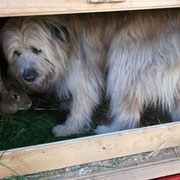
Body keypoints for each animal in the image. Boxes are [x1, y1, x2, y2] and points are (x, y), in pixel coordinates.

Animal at [1, 8, 180, 135]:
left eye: (37, 50)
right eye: (16, 52)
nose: (28, 77)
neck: (65, 44)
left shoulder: (83, 72)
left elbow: (82, 101)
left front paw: (69, 128)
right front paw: (68, 104)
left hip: (124, 59)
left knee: (130, 111)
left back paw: (110, 129)